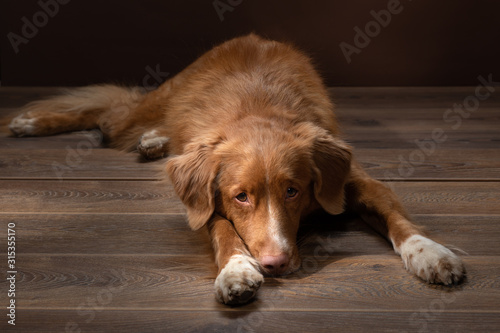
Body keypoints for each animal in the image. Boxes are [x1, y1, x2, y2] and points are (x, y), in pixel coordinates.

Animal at [6, 33, 464, 304]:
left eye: (293, 191)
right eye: (241, 196)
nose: (276, 264)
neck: (258, 113)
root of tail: (248, 38)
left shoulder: (352, 178)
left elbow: (395, 215)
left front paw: (431, 253)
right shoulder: (205, 199)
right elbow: (222, 228)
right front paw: (237, 269)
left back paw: (153, 141)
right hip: (152, 105)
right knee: (108, 112)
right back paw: (31, 122)